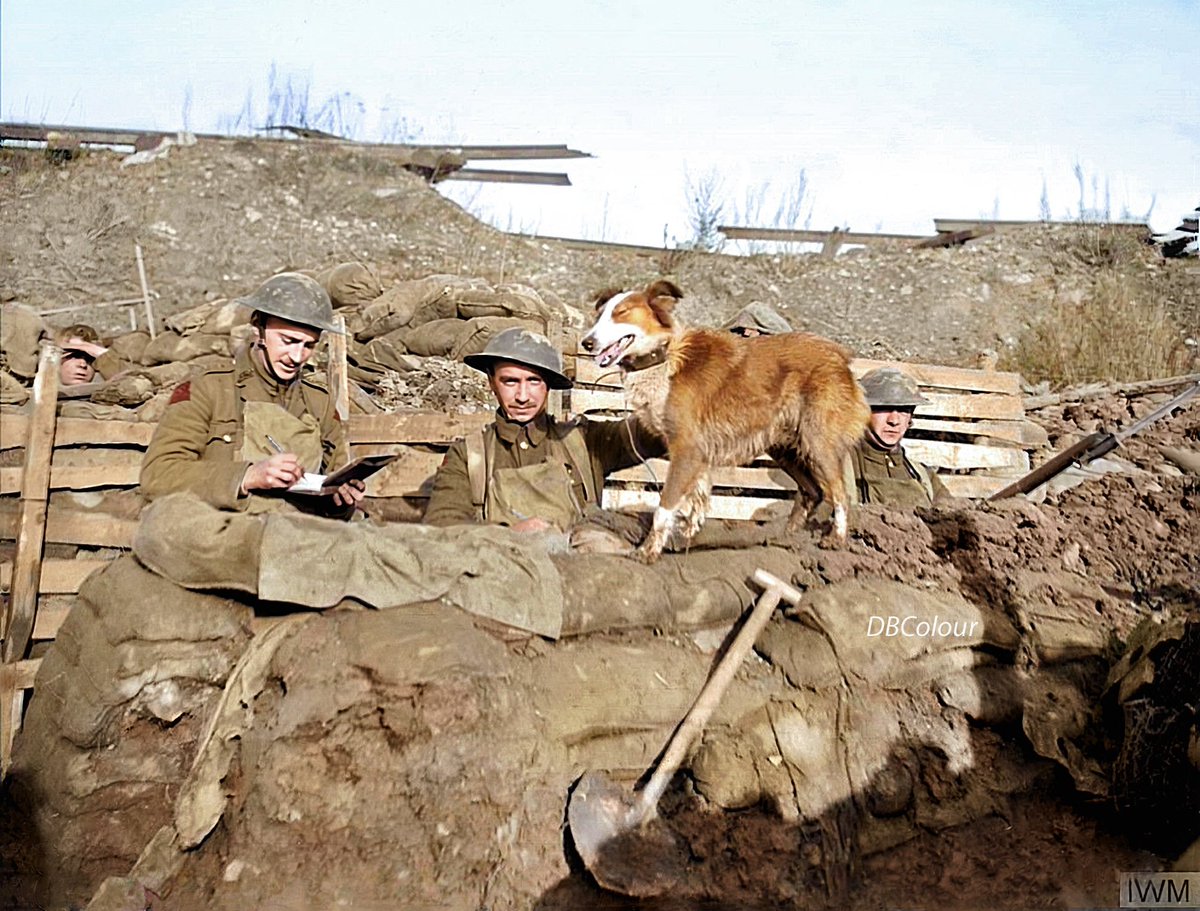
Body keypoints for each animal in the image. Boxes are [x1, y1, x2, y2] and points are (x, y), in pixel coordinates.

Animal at [578, 279, 868, 564]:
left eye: (621, 313)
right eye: (599, 316)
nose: (587, 343)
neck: (664, 358)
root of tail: (840, 356)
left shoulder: (687, 449)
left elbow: (664, 507)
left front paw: (648, 551)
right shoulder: (698, 454)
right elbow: (697, 497)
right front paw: (688, 536)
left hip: (818, 442)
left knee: (839, 494)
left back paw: (836, 538)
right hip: (783, 448)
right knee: (813, 491)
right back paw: (785, 537)